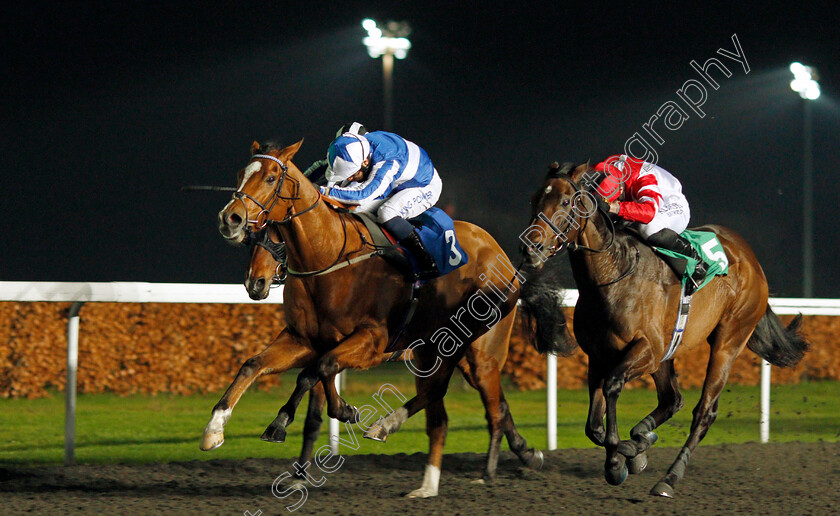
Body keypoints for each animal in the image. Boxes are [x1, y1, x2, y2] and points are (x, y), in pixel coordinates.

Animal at [206, 140, 572, 496]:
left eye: (270, 178)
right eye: (241, 174)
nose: (230, 218)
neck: (330, 256)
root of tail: (507, 262)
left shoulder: (371, 342)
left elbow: (318, 371)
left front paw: (294, 421)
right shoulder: (304, 339)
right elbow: (257, 367)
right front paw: (216, 429)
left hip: (480, 351)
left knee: (479, 404)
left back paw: (471, 467)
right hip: (439, 353)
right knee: (468, 405)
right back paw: (513, 455)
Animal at [520, 163, 808, 498]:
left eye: (566, 202)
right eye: (534, 199)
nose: (529, 248)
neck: (613, 275)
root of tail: (750, 259)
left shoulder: (646, 349)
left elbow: (612, 388)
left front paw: (619, 459)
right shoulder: (600, 356)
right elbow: (593, 426)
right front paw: (629, 454)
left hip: (728, 340)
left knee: (703, 412)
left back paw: (669, 478)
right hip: (669, 351)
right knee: (672, 399)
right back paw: (642, 438)